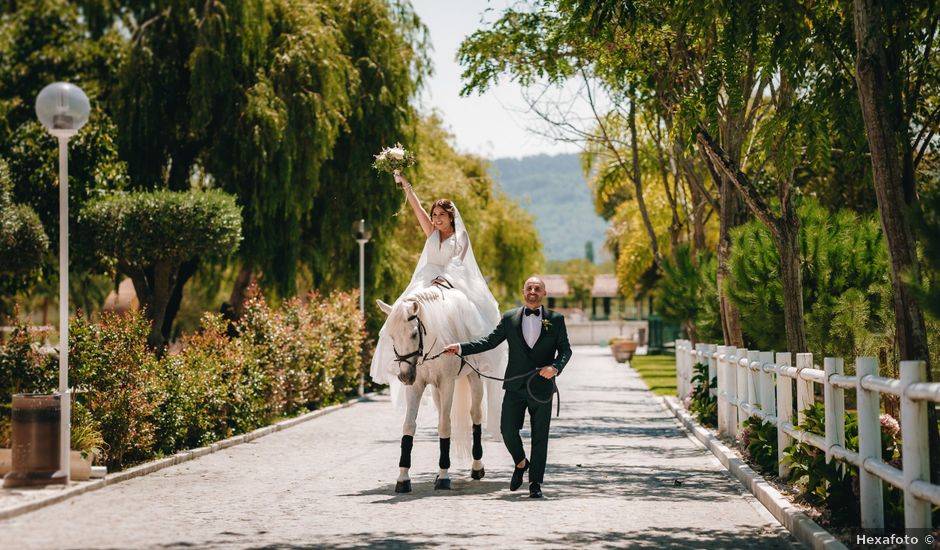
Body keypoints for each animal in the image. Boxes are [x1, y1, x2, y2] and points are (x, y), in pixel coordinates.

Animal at [378, 286, 488, 494]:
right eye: (392, 336)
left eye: (414, 334)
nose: (404, 376)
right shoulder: (416, 386)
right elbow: (409, 426)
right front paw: (403, 478)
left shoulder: (447, 383)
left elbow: (445, 425)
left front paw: (444, 477)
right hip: (436, 391)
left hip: (474, 378)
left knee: (475, 415)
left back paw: (477, 468)